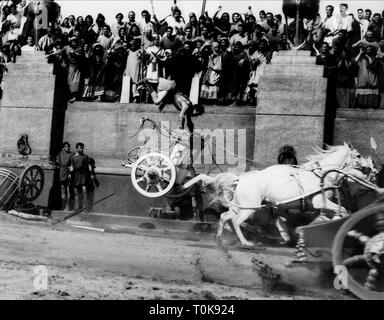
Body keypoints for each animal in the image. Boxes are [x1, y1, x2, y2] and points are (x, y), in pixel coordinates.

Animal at [188, 143, 364, 248]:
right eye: (359, 155)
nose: (368, 168)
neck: (320, 176)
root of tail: (240, 179)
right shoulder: (319, 202)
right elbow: (342, 211)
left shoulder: (317, 207)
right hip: (250, 207)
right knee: (236, 221)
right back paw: (246, 242)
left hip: (241, 205)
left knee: (225, 216)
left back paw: (220, 238)